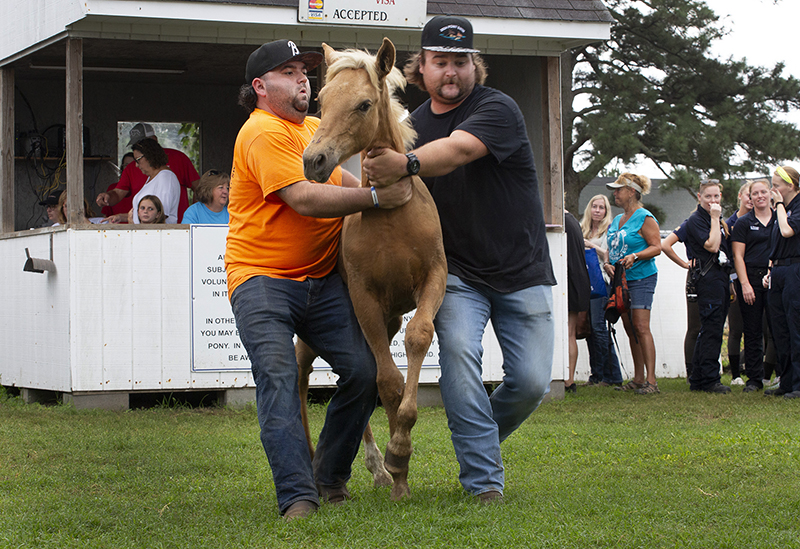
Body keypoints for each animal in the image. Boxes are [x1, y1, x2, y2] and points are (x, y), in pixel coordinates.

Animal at [302, 37, 450, 500]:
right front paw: (397, 458)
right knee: (300, 380)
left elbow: (416, 341)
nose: (314, 160)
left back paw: (376, 468)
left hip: (386, 320)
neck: (391, 216)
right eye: (321, 99)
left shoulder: (431, 282)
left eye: (364, 104)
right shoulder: (364, 297)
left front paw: (398, 465)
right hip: (316, 335)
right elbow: (386, 382)